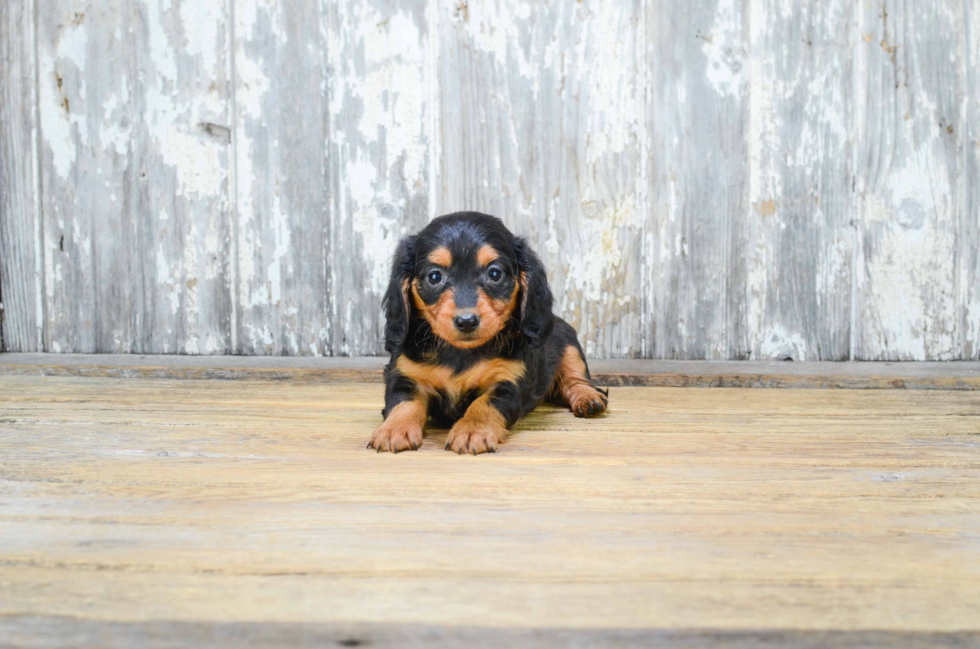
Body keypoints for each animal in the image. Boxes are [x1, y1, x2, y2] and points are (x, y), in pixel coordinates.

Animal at [372, 210, 608, 454]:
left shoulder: (510, 380)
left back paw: (588, 398)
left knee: (575, 377)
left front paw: (472, 430)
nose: (466, 321)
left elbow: (484, 403)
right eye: (434, 277)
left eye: (494, 274)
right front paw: (394, 429)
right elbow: (403, 400)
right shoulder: (404, 373)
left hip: (568, 341)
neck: (460, 353)